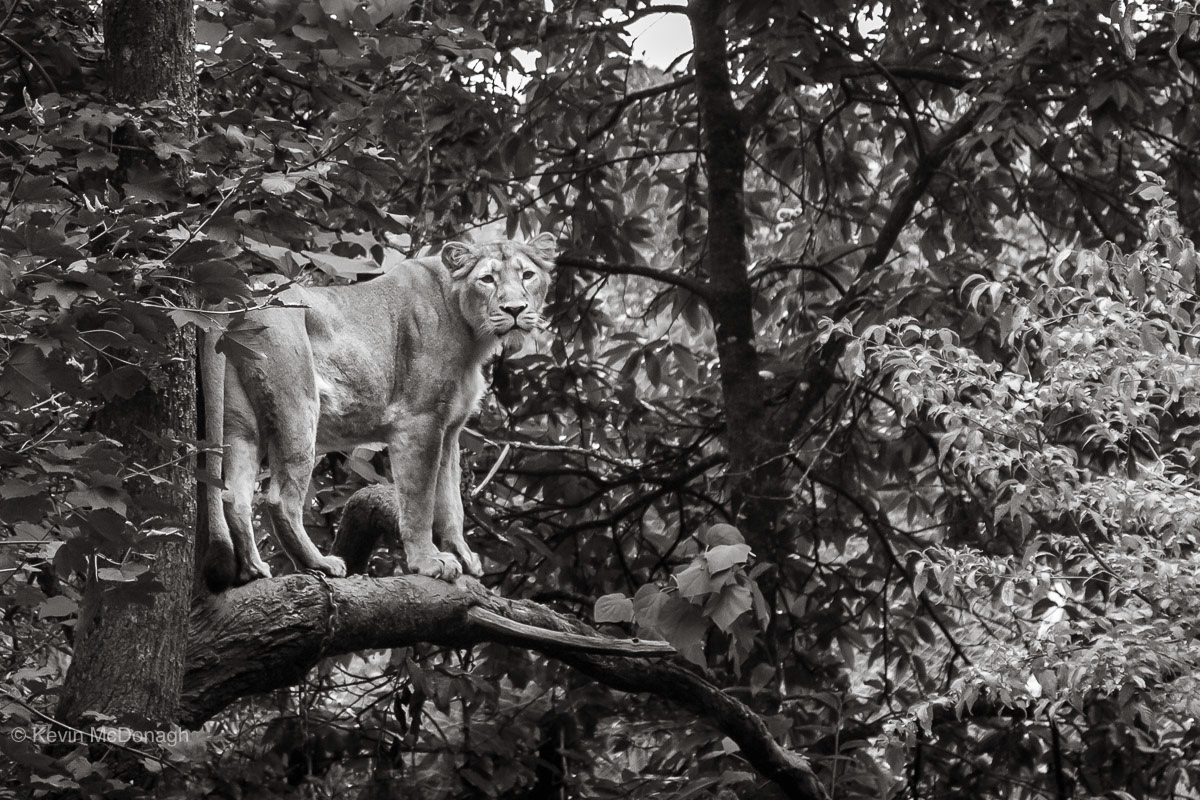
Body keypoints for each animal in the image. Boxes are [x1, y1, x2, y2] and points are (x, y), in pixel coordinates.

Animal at [201, 233, 558, 591]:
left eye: (527, 275)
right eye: (487, 279)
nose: (515, 309)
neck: (473, 335)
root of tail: (231, 298)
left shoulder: (449, 429)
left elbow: (451, 502)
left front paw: (464, 556)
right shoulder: (419, 422)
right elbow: (420, 501)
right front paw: (429, 562)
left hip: (241, 421)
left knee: (235, 496)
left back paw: (252, 569)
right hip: (298, 404)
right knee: (279, 499)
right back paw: (318, 563)